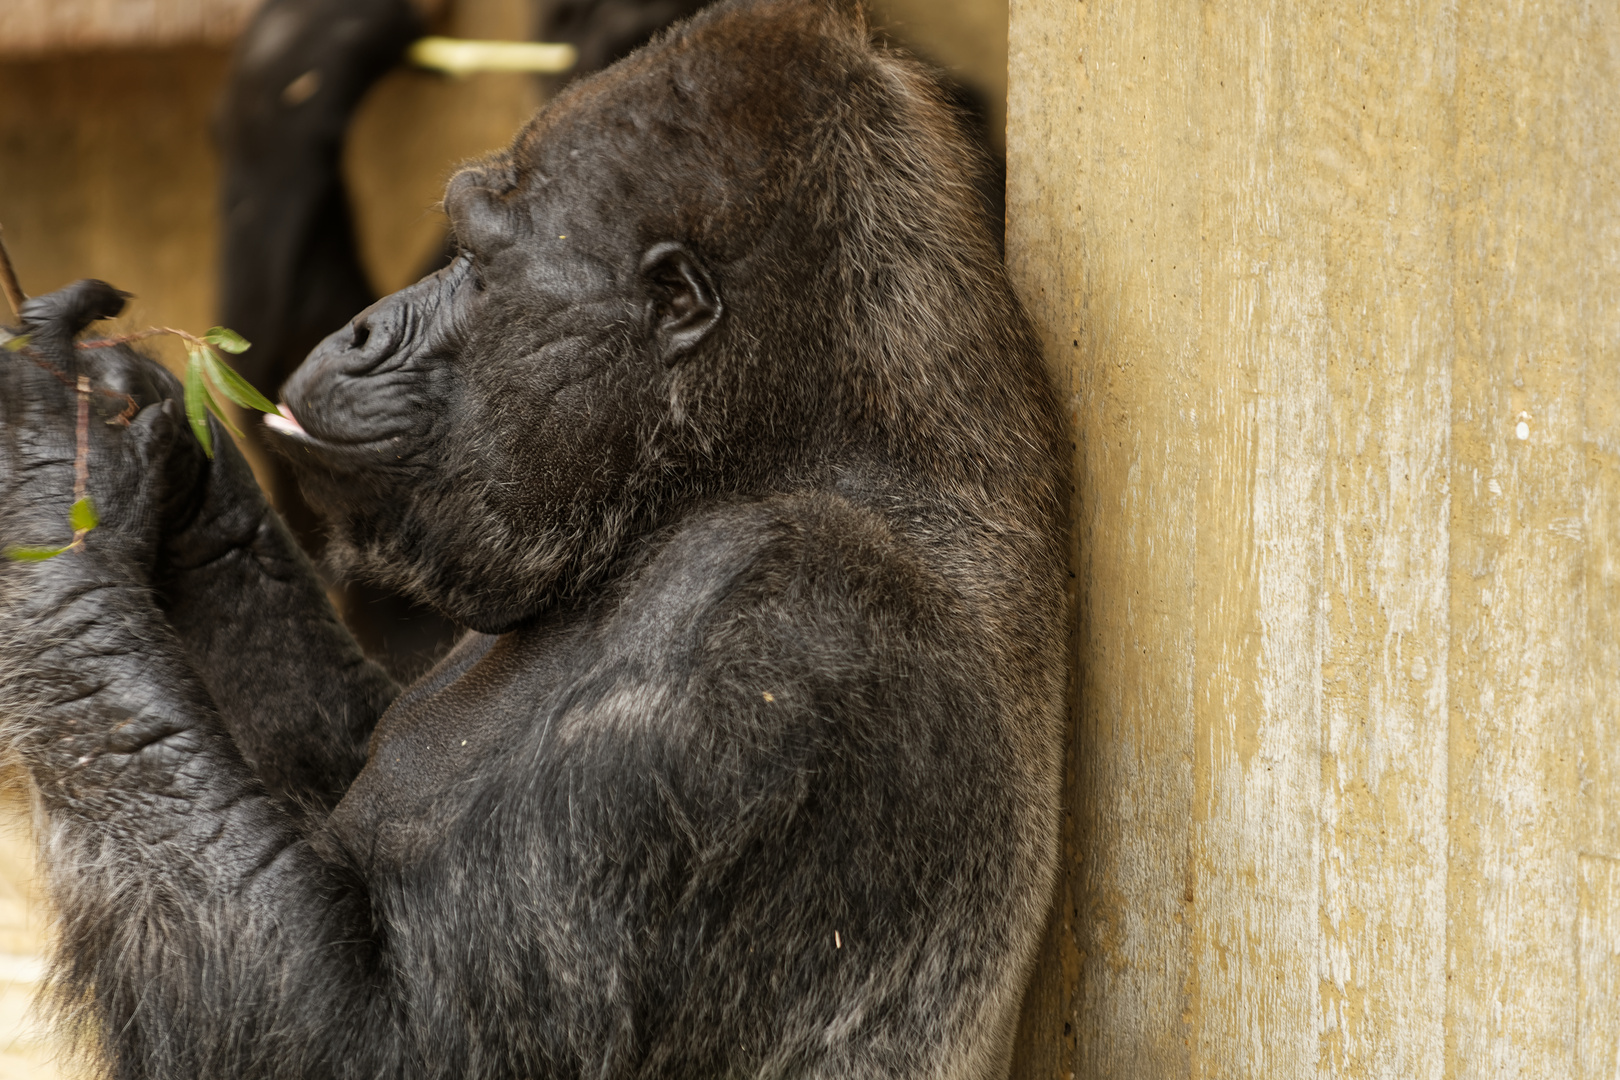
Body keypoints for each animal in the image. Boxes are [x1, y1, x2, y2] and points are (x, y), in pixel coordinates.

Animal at [0, 4, 1069, 1075]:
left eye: (477, 262)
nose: (361, 331)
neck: (766, 452)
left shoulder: (776, 629)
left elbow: (363, 1037)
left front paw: (49, 467)